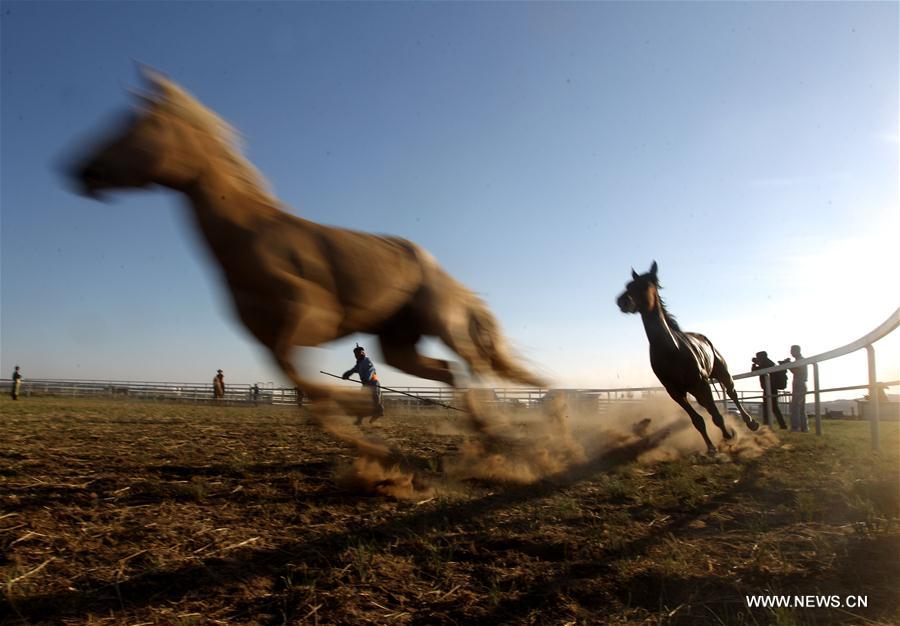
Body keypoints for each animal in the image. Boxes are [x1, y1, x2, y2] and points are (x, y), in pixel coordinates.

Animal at [67, 69, 545, 410]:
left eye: (137, 127)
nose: (80, 170)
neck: (249, 237)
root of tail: (442, 272)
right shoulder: (269, 337)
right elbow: (299, 382)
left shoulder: (312, 316)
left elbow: (305, 381)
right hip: (399, 343)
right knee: (450, 372)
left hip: (442, 322)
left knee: (473, 366)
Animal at [617, 262, 759, 455]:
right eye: (628, 285)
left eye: (644, 285)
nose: (622, 301)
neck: (671, 350)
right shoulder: (675, 392)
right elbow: (697, 420)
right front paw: (711, 447)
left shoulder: (701, 384)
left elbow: (716, 415)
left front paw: (729, 435)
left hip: (721, 373)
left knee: (732, 393)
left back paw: (751, 422)